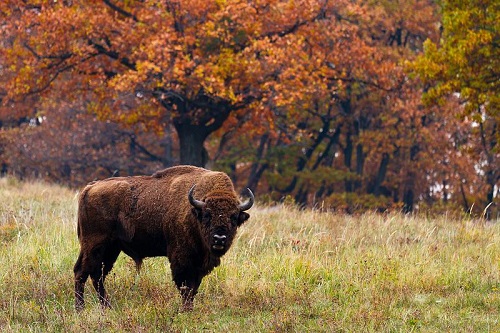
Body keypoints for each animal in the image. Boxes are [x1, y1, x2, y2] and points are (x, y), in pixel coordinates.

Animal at [73, 165, 254, 310]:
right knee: (83, 272)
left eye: (233, 217)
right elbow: (186, 288)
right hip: (95, 245)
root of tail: (90, 187)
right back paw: (81, 308)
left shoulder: (199, 265)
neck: (194, 212)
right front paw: (186, 311)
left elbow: (193, 288)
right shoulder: (182, 260)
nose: (219, 238)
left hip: (111, 249)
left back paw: (106, 307)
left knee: (96, 275)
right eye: (207, 215)